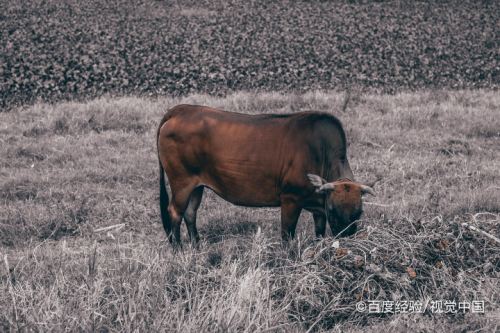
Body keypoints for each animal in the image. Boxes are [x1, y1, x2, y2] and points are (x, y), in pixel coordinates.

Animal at [157, 105, 376, 245]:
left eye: (359, 212)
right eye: (333, 210)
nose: (347, 244)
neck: (319, 151)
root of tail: (182, 110)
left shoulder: (318, 208)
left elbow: (319, 234)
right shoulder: (290, 198)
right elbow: (287, 236)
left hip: (197, 185)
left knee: (190, 213)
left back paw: (196, 246)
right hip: (181, 182)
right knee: (175, 212)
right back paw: (178, 250)